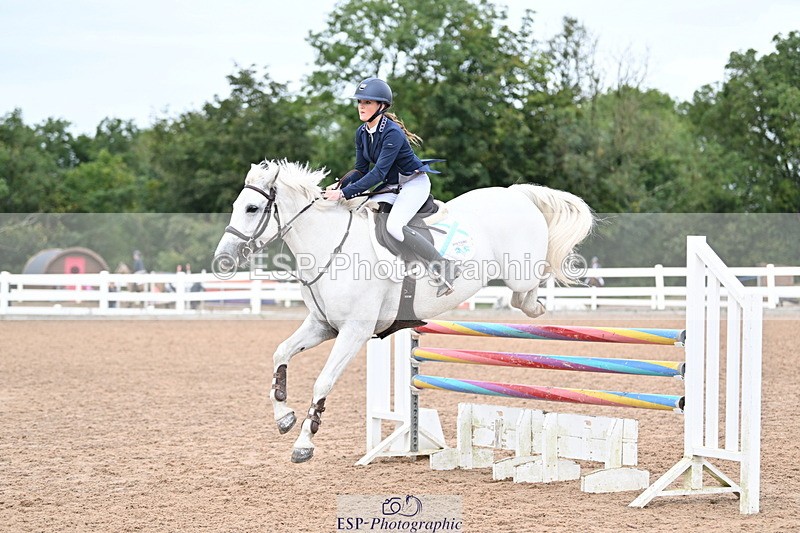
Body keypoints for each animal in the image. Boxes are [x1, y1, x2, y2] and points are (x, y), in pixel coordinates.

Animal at [213, 160, 595, 463]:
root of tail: (516, 194)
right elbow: (281, 353)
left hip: (521, 271)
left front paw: (304, 443)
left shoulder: (355, 332)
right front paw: (284, 416)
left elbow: (323, 380)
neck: (330, 246)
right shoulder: (323, 326)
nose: (223, 259)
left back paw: (540, 303)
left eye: (251, 208)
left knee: (532, 286)